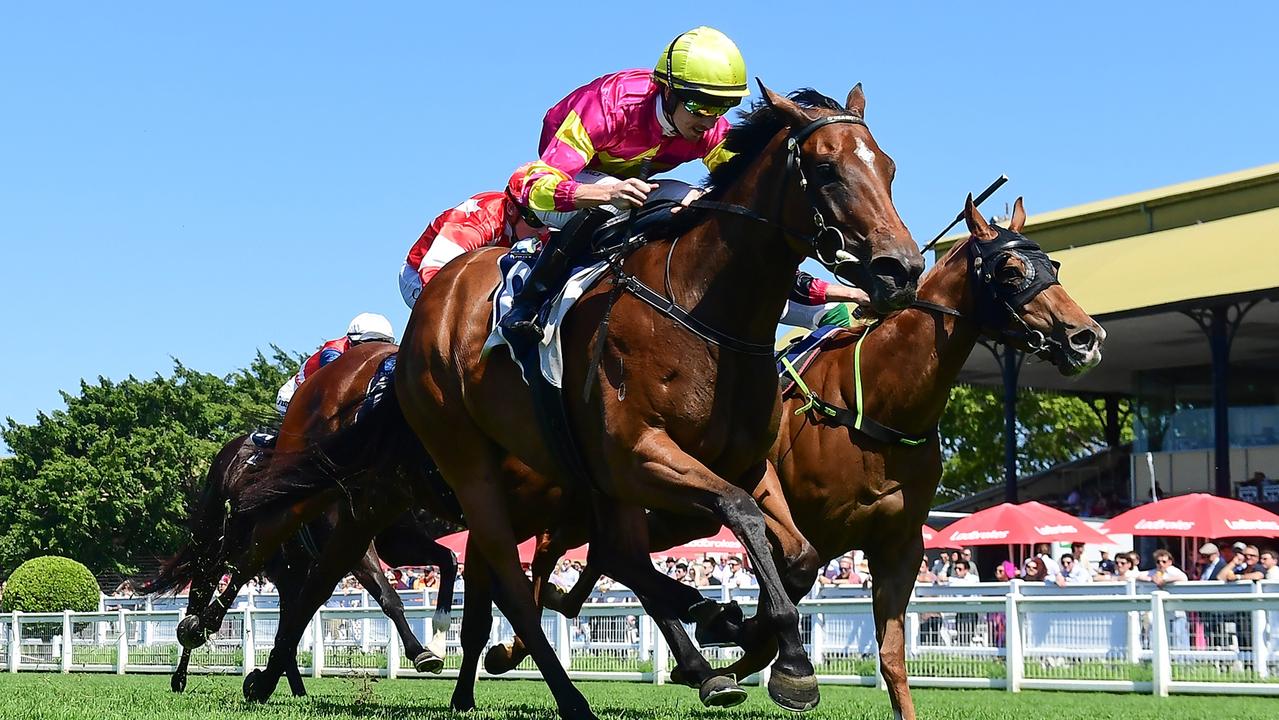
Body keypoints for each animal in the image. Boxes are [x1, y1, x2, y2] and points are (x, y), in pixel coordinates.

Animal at [393, 85, 925, 720]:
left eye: (890, 168)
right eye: (825, 169)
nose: (902, 269)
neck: (706, 311)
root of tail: (439, 291)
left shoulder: (743, 461)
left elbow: (797, 554)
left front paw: (749, 636)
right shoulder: (639, 452)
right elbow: (739, 512)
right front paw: (790, 664)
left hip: (582, 477)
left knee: (615, 555)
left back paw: (701, 639)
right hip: (471, 462)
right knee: (515, 582)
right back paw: (573, 692)